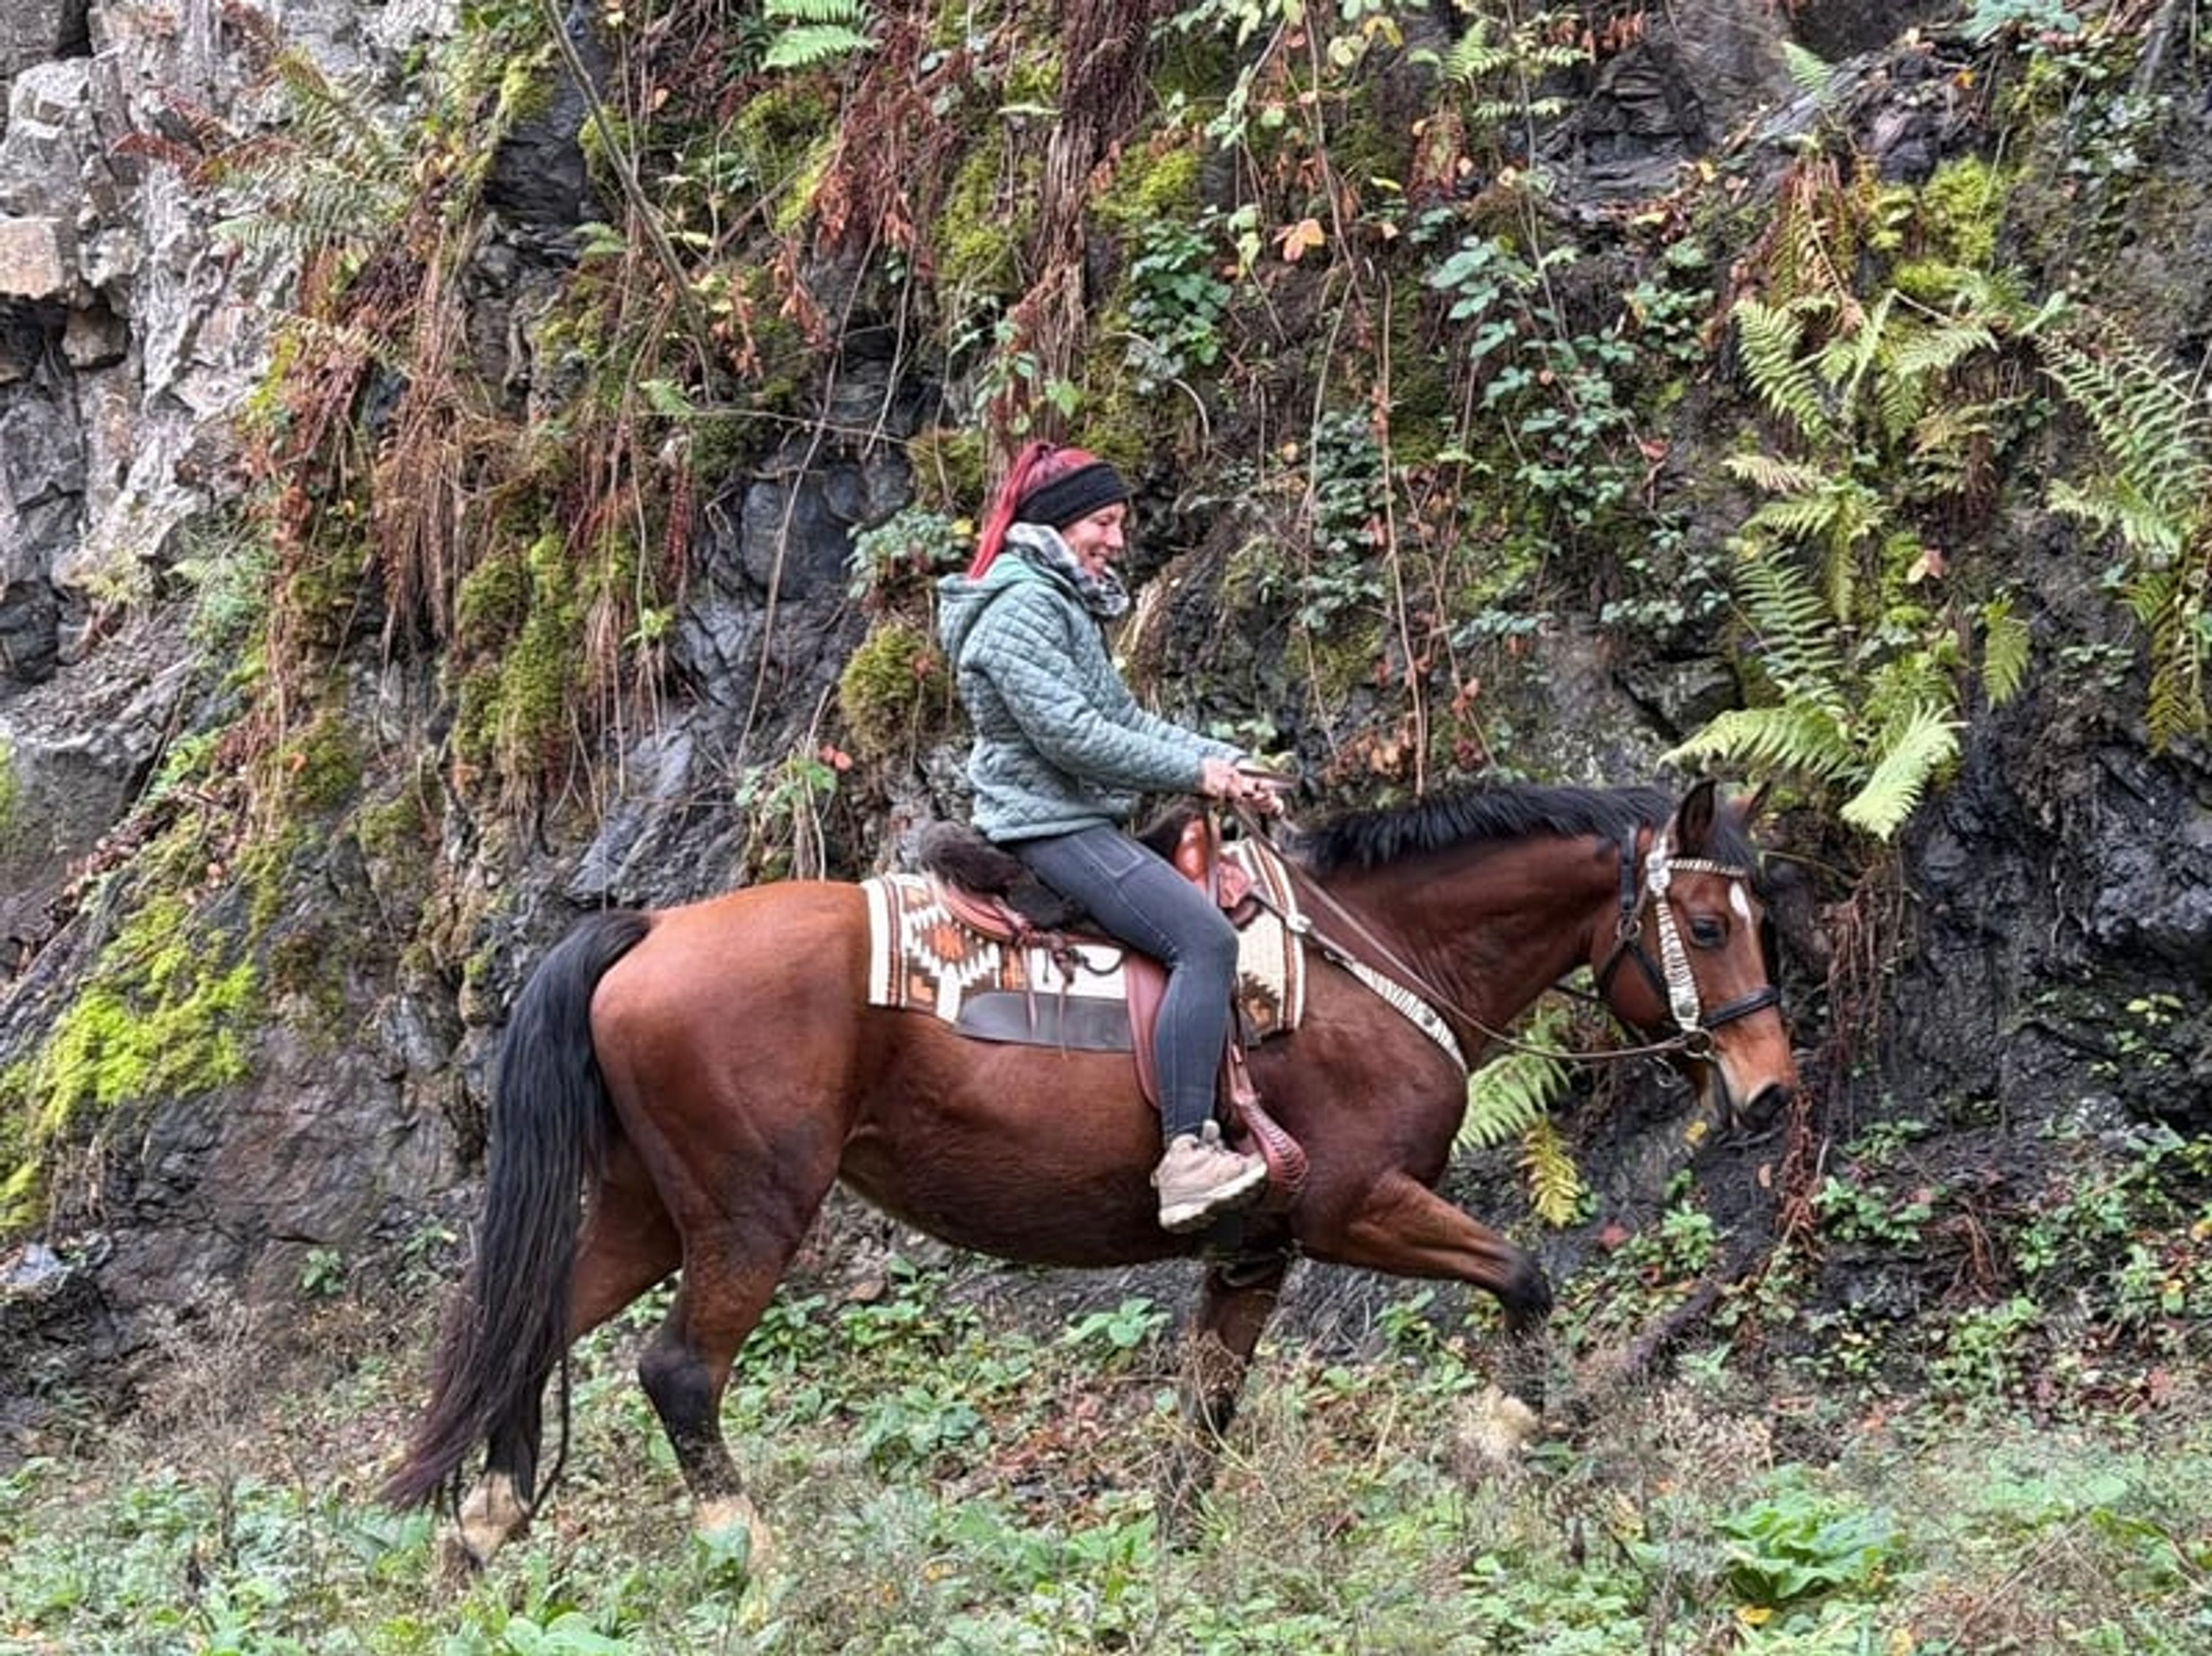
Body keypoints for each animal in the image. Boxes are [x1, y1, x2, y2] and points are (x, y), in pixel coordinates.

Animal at [381, 778, 1797, 1567]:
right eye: (1708, 922)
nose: (1772, 1088)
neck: (1377, 959)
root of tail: (654, 928)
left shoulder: (1256, 1250)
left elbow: (1206, 1411)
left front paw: (1172, 1552)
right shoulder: (1355, 1204)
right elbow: (1526, 1275)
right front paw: (1503, 1428)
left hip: (646, 1207)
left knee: (525, 1325)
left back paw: (485, 1526)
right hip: (749, 1210)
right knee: (678, 1371)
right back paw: (747, 1555)